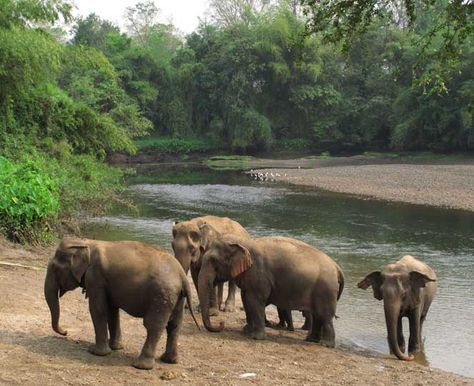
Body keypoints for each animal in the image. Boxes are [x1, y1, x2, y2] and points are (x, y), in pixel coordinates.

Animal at [45, 237, 200, 370]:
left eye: (55, 268)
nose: (65, 332)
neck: (86, 243)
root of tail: (182, 275)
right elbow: (112, 311)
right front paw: (116, 347)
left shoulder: (95, 277)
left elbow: (98, 309)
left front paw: (96, 352)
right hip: (178, 297)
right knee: (174, 325)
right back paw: (169, 360)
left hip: (162, 295)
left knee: (153, 325)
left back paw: (141, 366)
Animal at [196, 235, 344, 346]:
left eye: (213, 261)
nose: (221, 323)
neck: (244, 242)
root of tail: (337, 268)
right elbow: (245, 299)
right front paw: (246, 331)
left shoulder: (259, 274)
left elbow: (254, 301)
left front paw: (256, 337)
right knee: (318, 316)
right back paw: (311, 340)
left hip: (325, 291)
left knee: (324, 316)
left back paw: (325, 344)